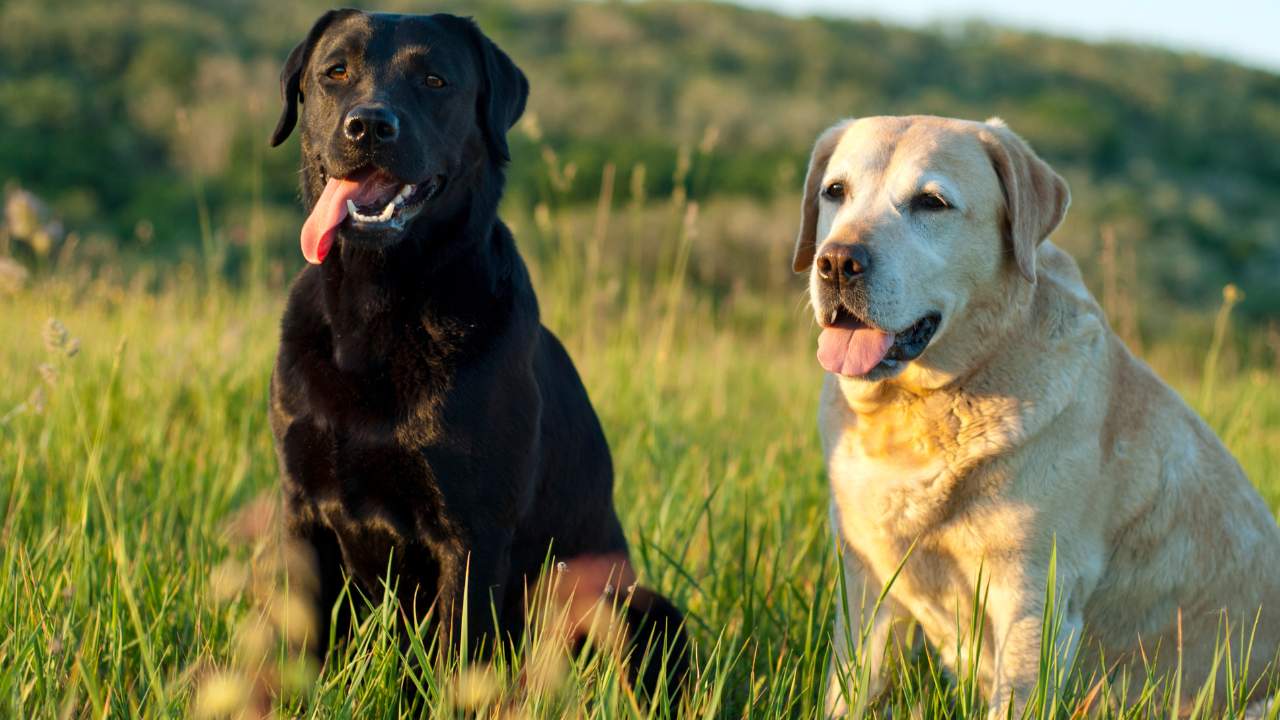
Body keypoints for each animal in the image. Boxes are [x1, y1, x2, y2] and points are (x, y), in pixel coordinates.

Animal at [264, 5, 691, 702]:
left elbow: (453, 665)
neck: (376, 312)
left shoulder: (471, 534)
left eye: (435, 80)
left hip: (641, 606)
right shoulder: (304, 512)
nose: (370, 125)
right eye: (335, 72)